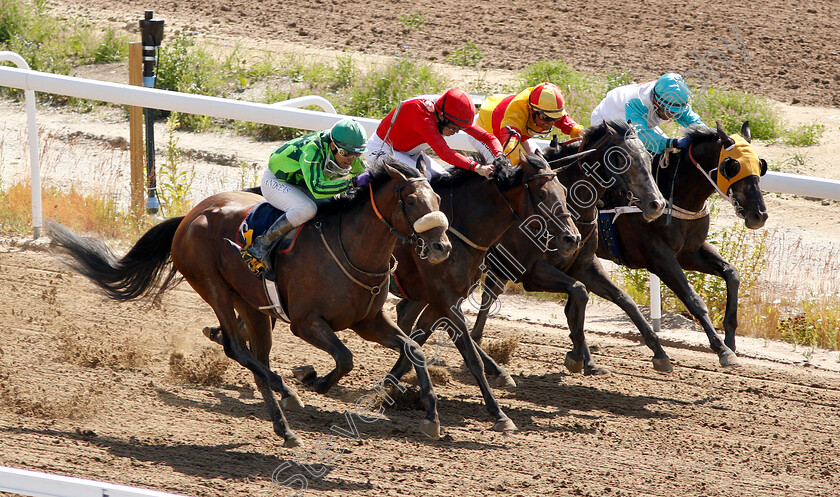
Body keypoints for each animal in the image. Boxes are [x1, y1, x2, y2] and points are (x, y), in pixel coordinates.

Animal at [46, 161, 452, 448]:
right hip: (214, 288)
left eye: (438, 200)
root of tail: (190, 216)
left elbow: (413, 349)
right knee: (235, 348)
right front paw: (314, 381)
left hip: (253, 308)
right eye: (412, 201)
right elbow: (345, 358)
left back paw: (285, 429)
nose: (442, 247)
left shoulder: (368, 321)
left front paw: (432, 418)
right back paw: (288, 393)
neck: (351, 247)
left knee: (256, 360)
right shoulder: (305, 322)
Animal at [384, 150, 580, 430]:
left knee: (405, 315)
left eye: (563, 190)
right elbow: (469, 355)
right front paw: (499, 414)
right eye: (542, 194)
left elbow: (423, 338)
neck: (459, 230)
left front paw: (391, 382)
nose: (572, 239)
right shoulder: (445, 298)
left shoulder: (443, 299)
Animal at [466, 120, 668, 374]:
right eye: (622, 158)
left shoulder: (584, 266)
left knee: (488, 296)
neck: (572, 208)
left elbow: (621, 299)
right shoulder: (532, 272)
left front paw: (659, 353)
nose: (656, 204)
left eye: (648, 157)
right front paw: (577, 356)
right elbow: (579, 295)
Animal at [592, 121, 768, 366]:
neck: (670, 194)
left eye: (760, 166)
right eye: (732, 166)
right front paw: (722, 349)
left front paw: (730, 340)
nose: (759, 215)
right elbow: (694, 300)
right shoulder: (659, 257)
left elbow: (731, 273)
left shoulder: (688, 252)